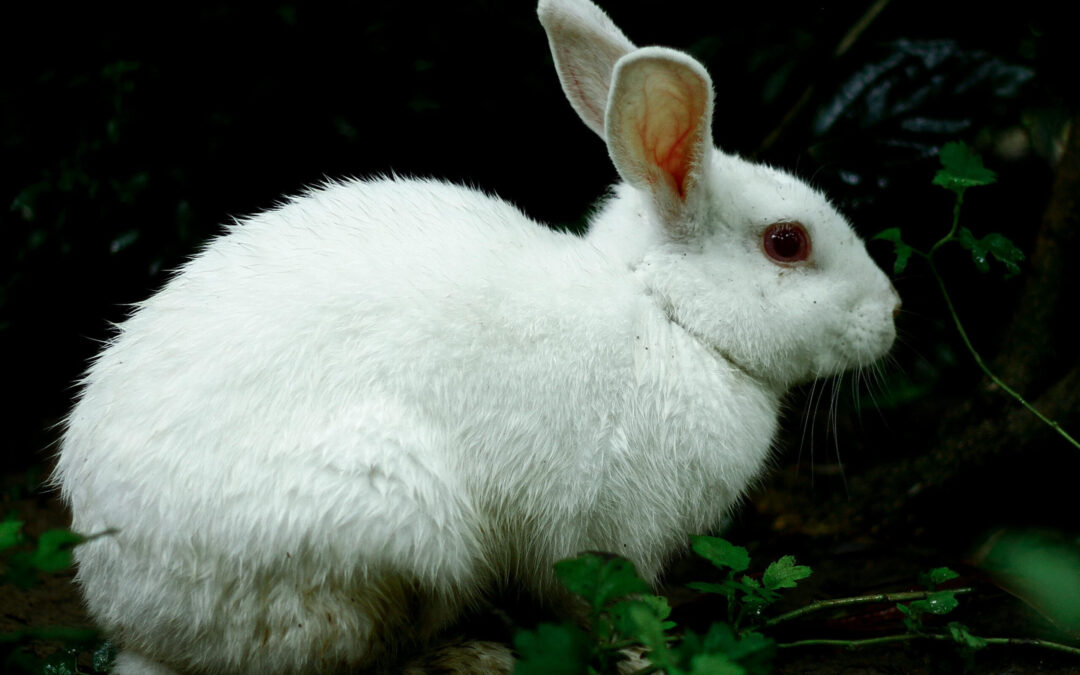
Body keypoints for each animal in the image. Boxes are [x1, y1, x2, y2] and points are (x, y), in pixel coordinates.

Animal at [54, 0, 900, 672]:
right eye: (787, 241)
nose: (893, 312)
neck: (667, 314)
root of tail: (140, 615)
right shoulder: (603, 532)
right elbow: (597, 603)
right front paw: (640, 651)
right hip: (392, 530)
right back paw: (470, 653)